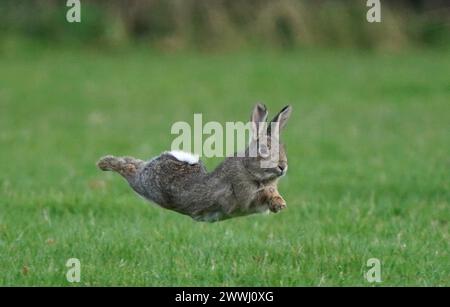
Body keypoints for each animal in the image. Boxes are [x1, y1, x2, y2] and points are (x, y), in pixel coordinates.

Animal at [96, 104, 292, 223]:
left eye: (283, 147)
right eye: (264, 149)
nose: (283, 166)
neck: (248, 168)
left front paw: (280, 203)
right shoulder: (244, 197)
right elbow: (258, 197)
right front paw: (279, 204)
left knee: (134, 163)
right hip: (146, 185)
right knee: (129, 168)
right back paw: (104, 163)